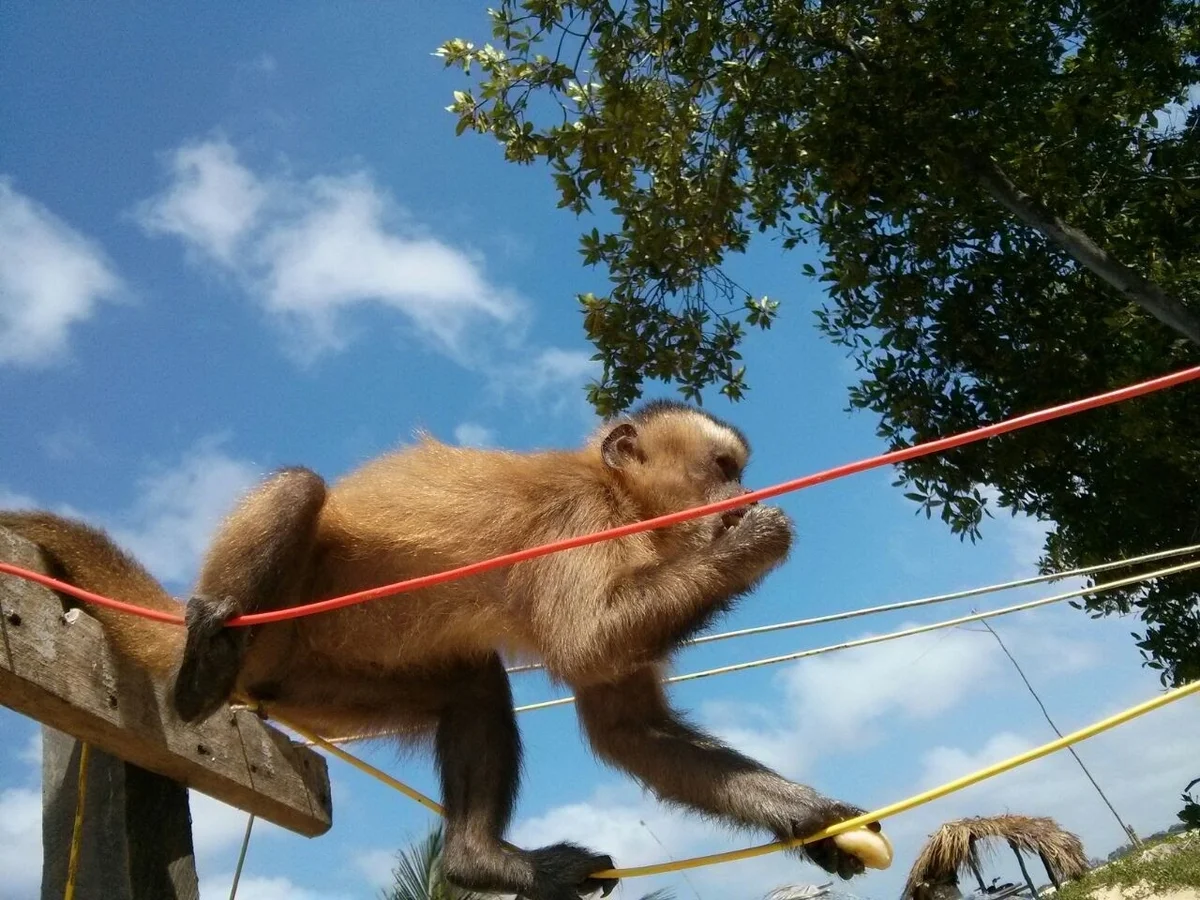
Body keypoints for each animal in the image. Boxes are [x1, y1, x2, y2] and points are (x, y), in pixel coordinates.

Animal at [2, 405, 883, 900]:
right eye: (722, 469)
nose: (742, 497)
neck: (623, 502)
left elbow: (629, 732)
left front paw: (814, 820)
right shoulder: (579, 519)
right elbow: (589, 639)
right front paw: (758, 541)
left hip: (308, 682)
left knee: (470, 687)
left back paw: (475, 863)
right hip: (274, 635)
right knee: (299, 487)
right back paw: (205, 656)